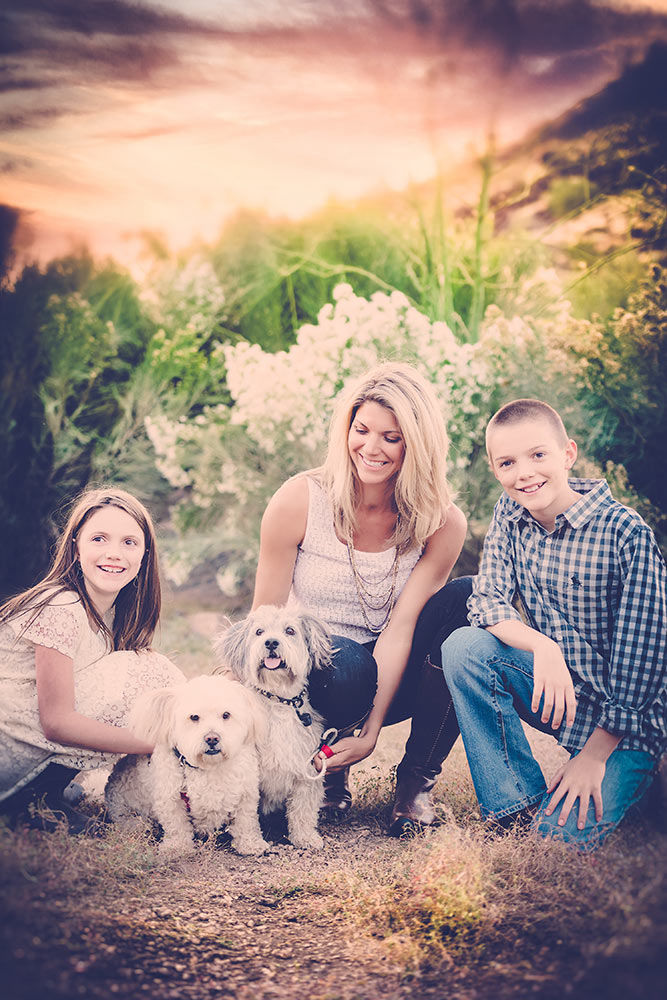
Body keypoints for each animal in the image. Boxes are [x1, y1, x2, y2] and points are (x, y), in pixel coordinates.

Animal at [105, 676, 270, 856]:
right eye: (194, 717)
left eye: (226, 715)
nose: (212, 738)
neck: (208, 767)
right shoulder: (170, 798)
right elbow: (176, 824)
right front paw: (177, 846)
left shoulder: (246, 795)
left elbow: (246, 821)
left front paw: (251, 844)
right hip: (123, 810)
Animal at [217, 604, 334, 848]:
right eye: (259, 632)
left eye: (290, 631)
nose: (271, 642)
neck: (279, 700)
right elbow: (245, 815)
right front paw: (250, 843)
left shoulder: (306, 770)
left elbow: (303, 809)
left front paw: (305, 837)